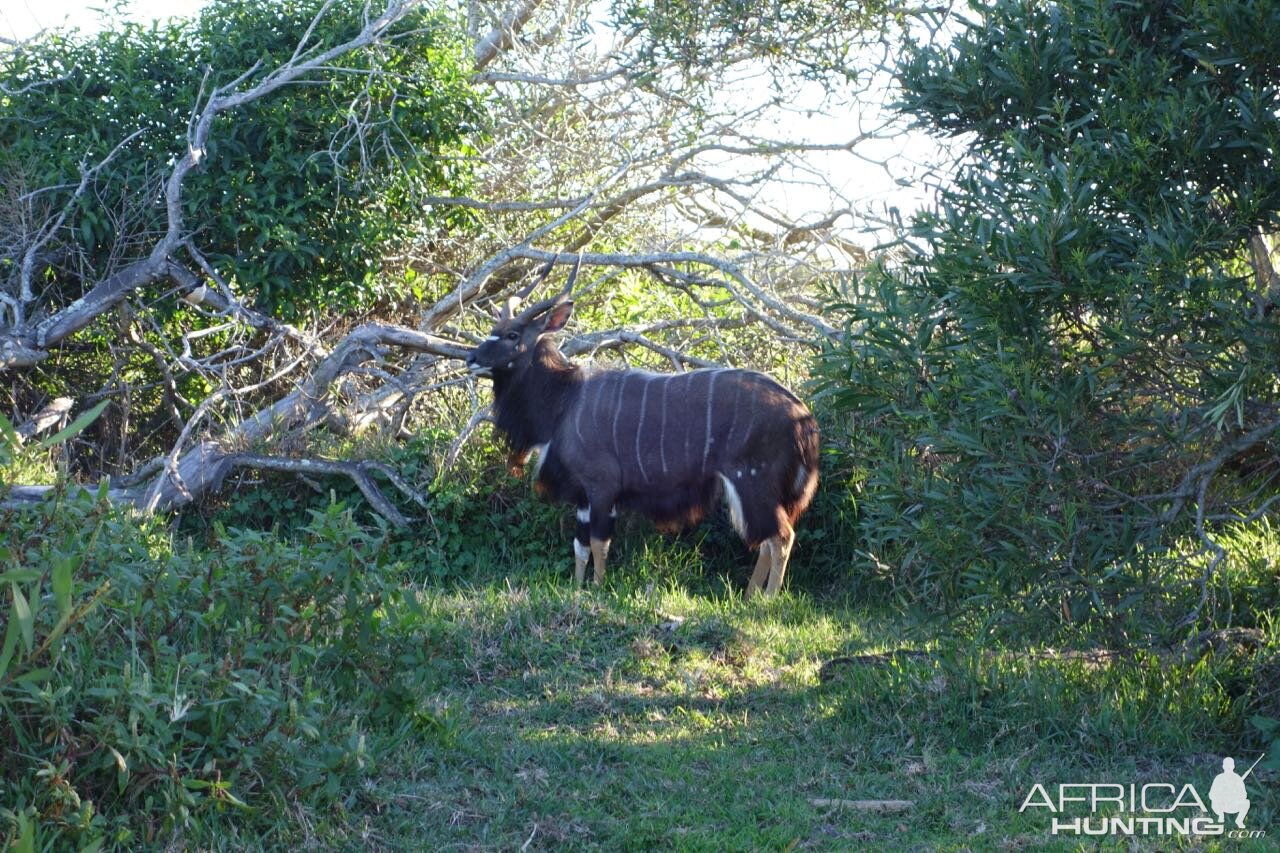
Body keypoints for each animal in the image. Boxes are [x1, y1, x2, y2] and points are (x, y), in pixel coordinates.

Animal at [463, 256, 819, 594]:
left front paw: (597, 589)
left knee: (781, 537)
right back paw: (749, 596)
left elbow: (599, 543)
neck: (565, 400)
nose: (470, 358)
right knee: (767, 540)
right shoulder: (583, 497)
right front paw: (577, 588)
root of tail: (803, 417)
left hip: (753, 481)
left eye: (512, 335)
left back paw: (766, 601)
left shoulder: (602, 487)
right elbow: (580, 546)